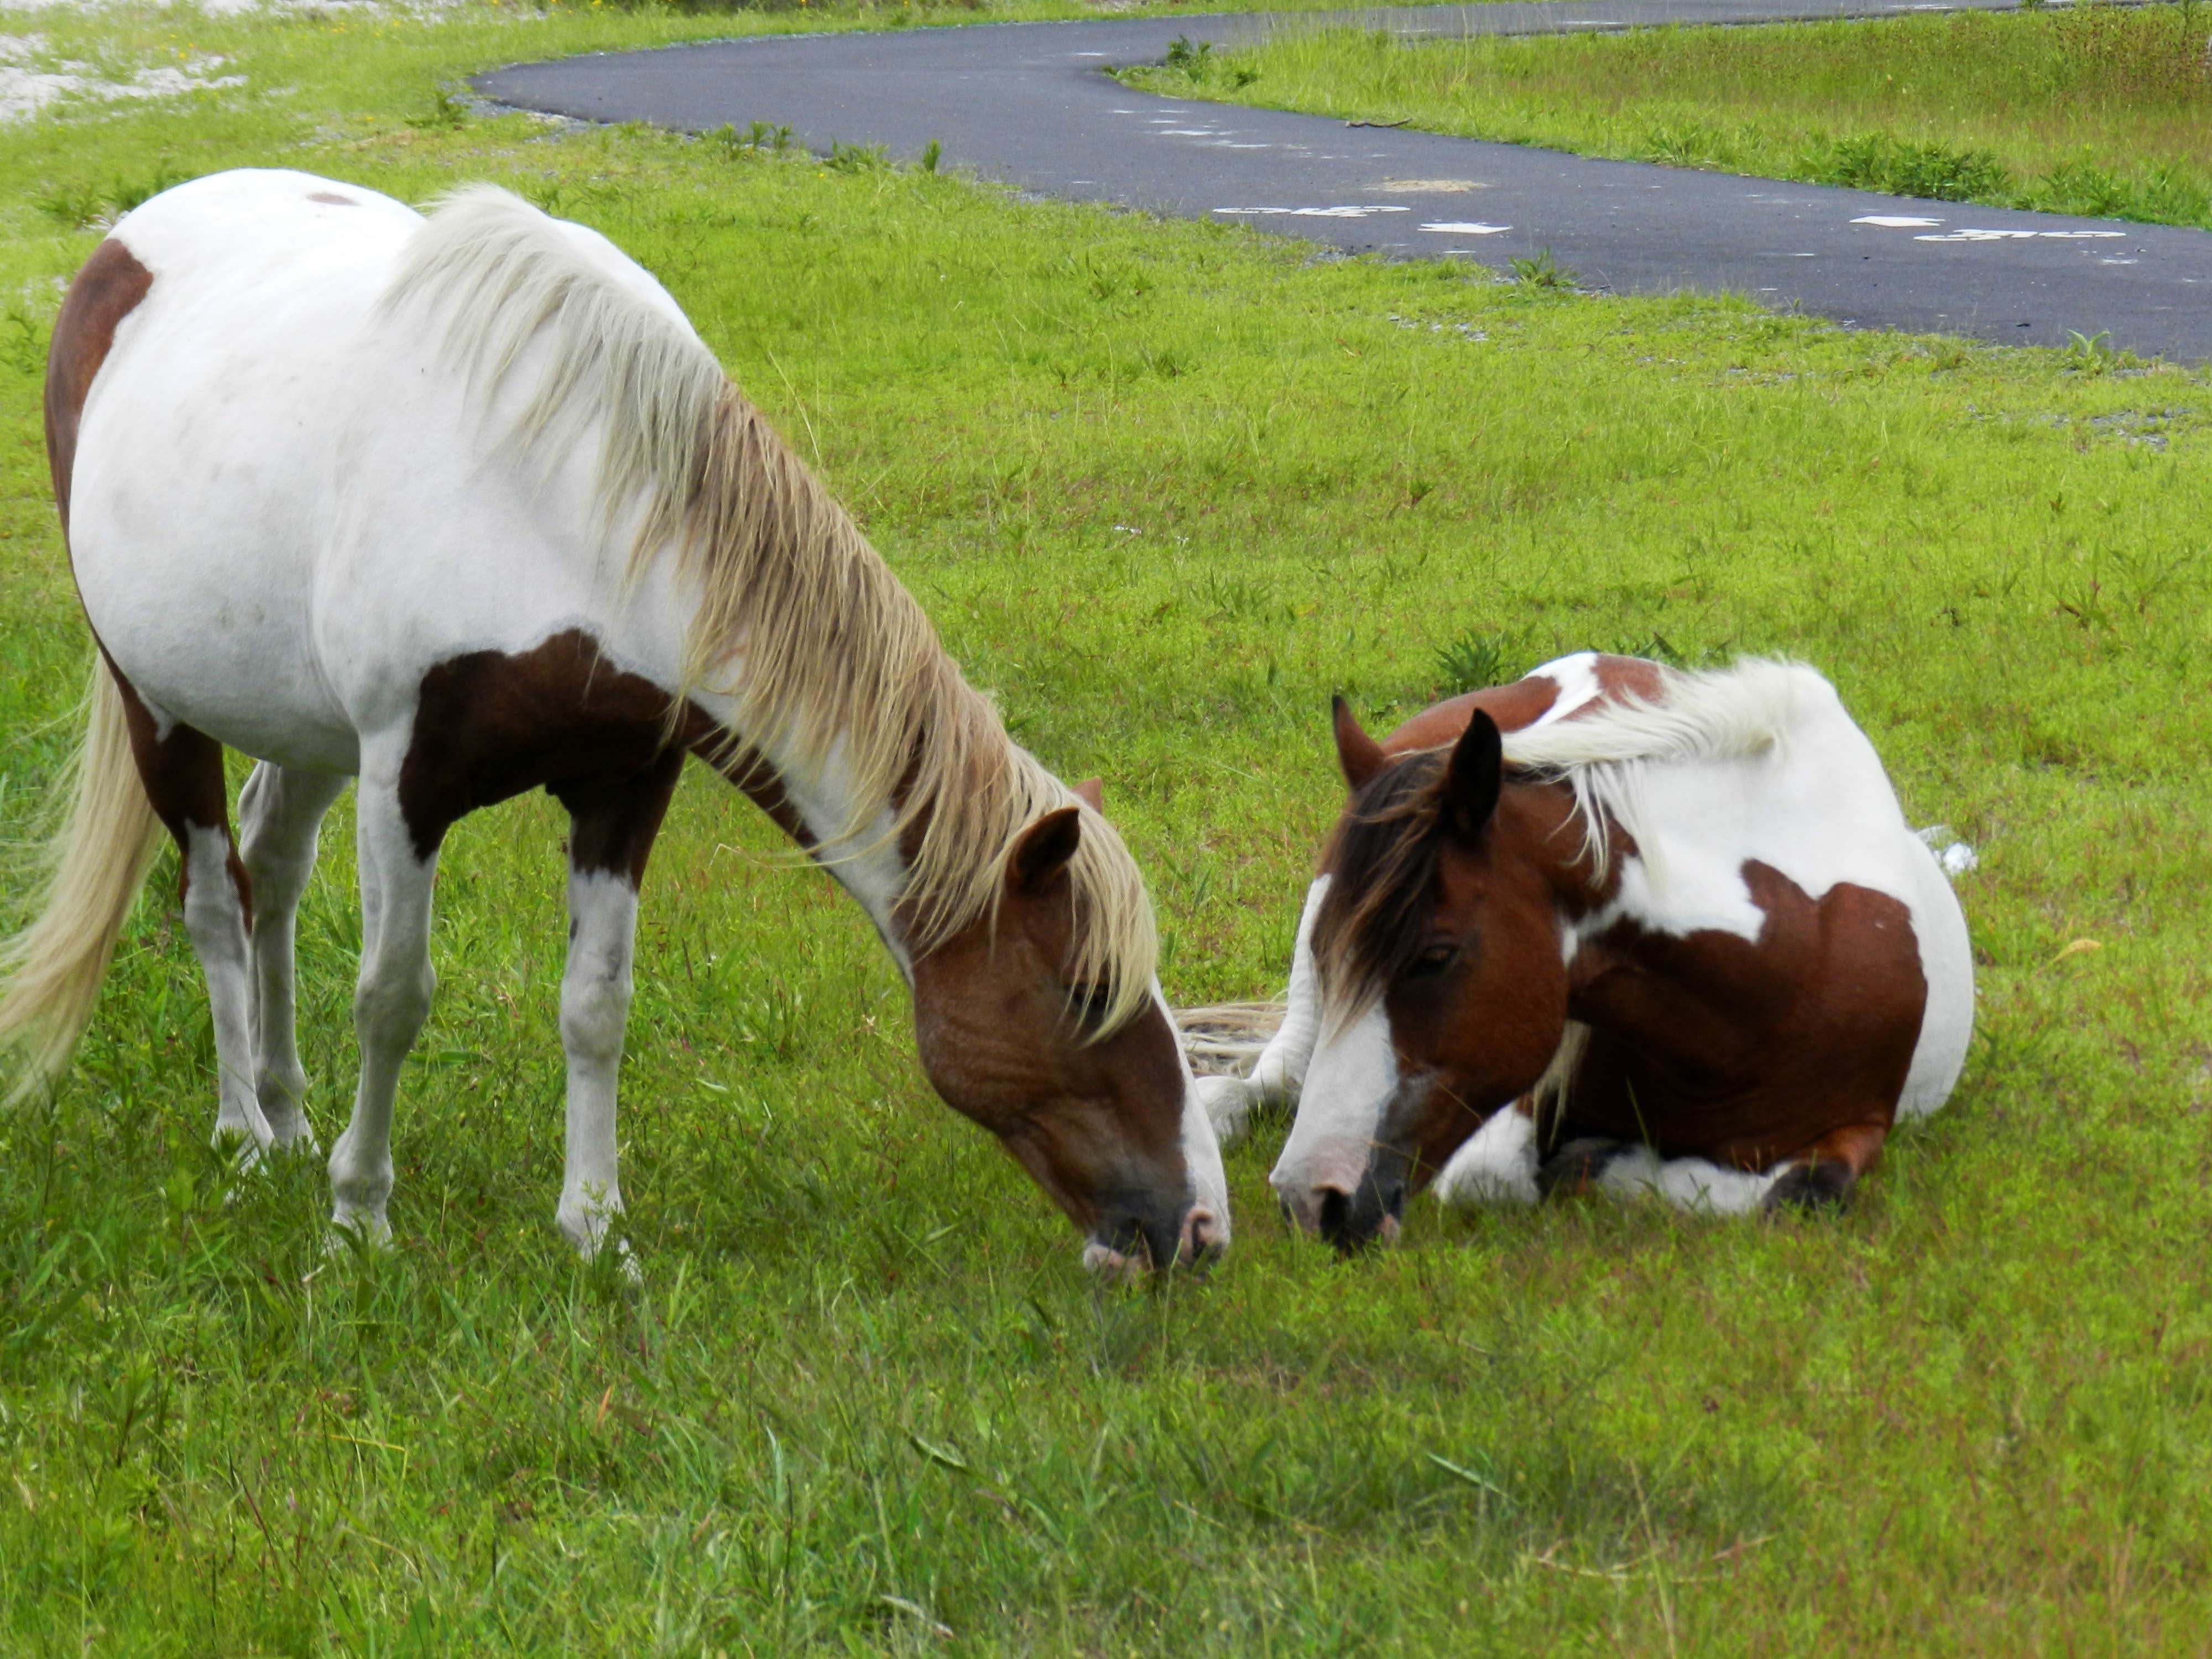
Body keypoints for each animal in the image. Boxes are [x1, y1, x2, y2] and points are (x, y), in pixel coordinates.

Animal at [0, 168, 1228, 1276]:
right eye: (1084, 992)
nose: (1199, 1226)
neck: (557, 506)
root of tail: (125, 243)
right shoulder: (408, 784)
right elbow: (393, 999)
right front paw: (361, 1219)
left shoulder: (625, 784)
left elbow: (597, 1005)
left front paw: (594, 1228)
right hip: (158, 703)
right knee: (216, 901)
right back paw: (246, 1136)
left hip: (301, 728)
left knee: (273, 874)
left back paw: (290, 1111)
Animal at [1197, 651, 1972, 1248]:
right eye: (1327, 952)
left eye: (1436, 957)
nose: (1312, 1197)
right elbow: (1495, 1178)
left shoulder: (1862, 1125)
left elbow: (1804, 1193)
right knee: (1268, 1080)